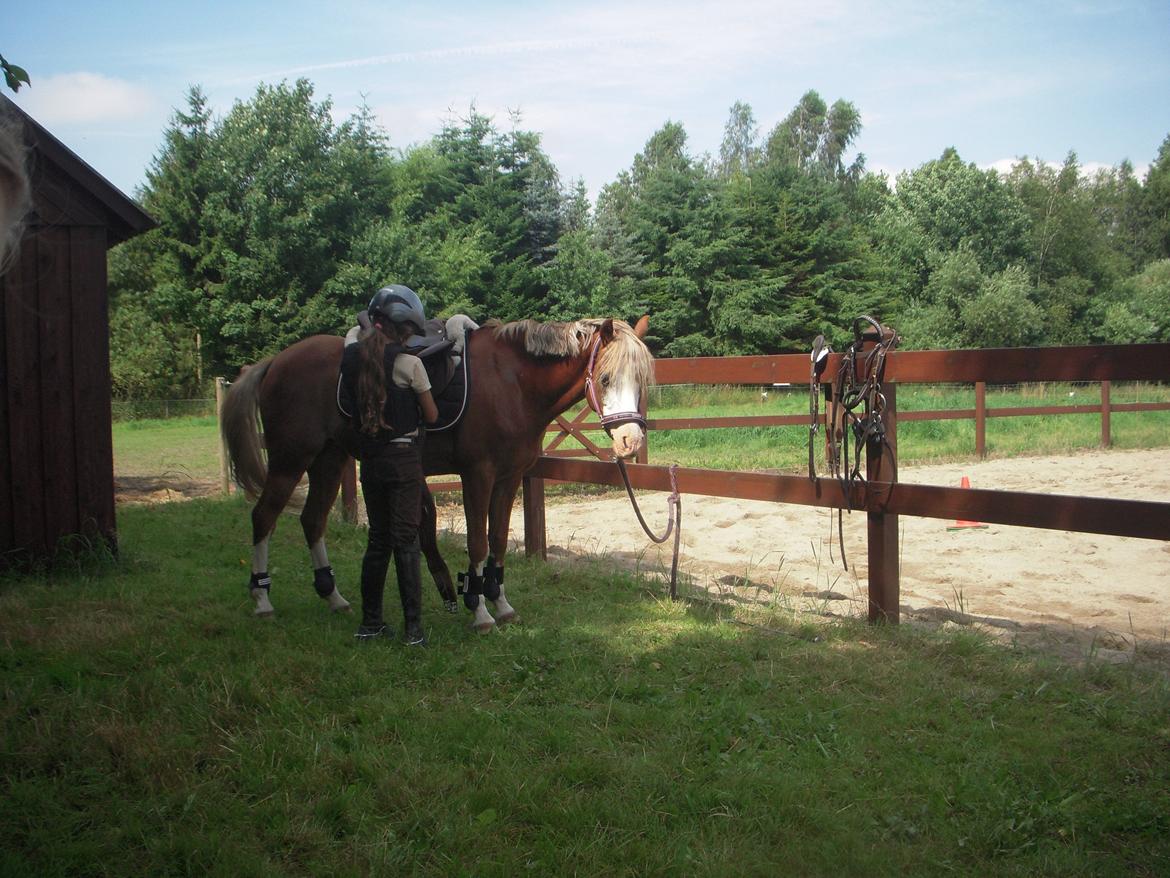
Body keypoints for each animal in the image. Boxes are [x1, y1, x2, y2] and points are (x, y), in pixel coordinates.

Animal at [221, 315, 653, 632]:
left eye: (642, 382)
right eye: (605, 378)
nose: (630, 442)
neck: (513, 383)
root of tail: (275, 361)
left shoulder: (509, 478)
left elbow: (498, 540)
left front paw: (500, 602)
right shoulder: (477, 475)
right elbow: (477, 543)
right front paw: (479, 611)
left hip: (328, 460)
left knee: (312, 521)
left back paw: (334, 597)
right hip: (290, 460)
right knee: (264, 517)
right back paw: (262, 599)